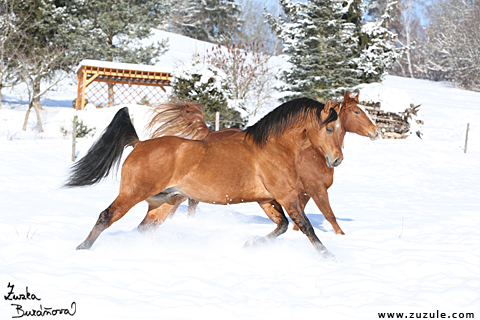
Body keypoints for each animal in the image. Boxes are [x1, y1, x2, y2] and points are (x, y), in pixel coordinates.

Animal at [64, 97, 342, 258]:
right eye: (329, 128)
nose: (336, 159)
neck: (273, 147)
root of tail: (140, 143)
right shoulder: (286, 195)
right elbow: (305, 226)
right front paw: (328, 256)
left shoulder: (267, 199)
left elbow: (282, 225)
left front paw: (250, 245)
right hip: (133, 194)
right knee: (106, 216)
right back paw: (81, 249)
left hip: (162, 202)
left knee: (144, 228)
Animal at [148, 91, 380, 234]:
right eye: (358, 111)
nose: (376, 131)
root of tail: (208, 134)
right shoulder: (316, 189)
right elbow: (330, 217)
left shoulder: (300, 193)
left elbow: (298, 221)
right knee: (181, 201)